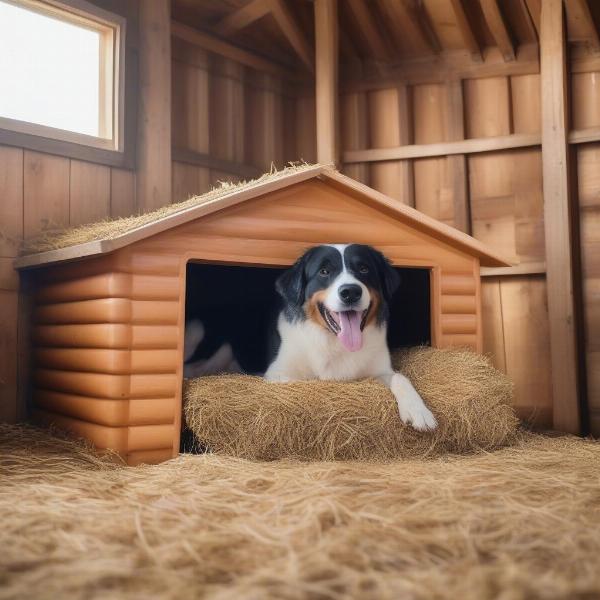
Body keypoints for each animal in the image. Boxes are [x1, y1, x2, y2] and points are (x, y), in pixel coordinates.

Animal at [264, 244, 438, 432]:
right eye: (324, 271)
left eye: (364, 269)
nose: (350, 292)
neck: (337, 343)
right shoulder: (277, 373)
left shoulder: (380, 369)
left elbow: (400, 377)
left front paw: (418, 410)